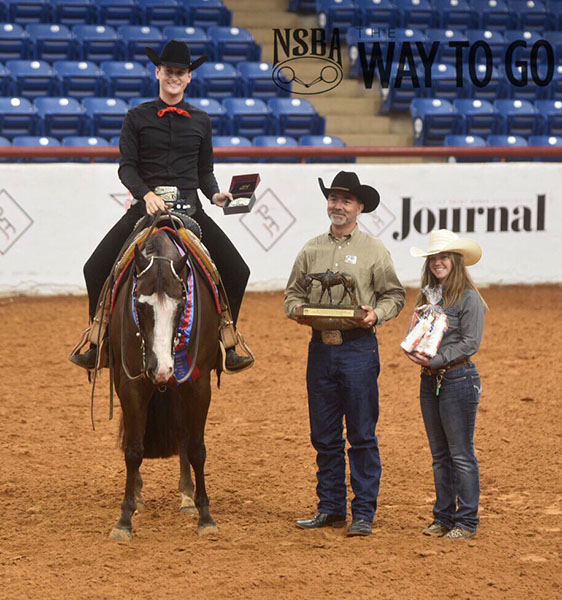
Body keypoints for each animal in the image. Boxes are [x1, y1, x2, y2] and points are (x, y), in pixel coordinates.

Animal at [108, 226, 220, 541]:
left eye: (181, 304)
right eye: (139, 304)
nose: (161, 368)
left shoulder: (198, 386)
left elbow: (197, 449)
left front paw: (205, 516)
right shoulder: (131, 385)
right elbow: (134, 451)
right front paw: (124, 519)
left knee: (182, 435)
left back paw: (187, 498)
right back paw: (139, 497)